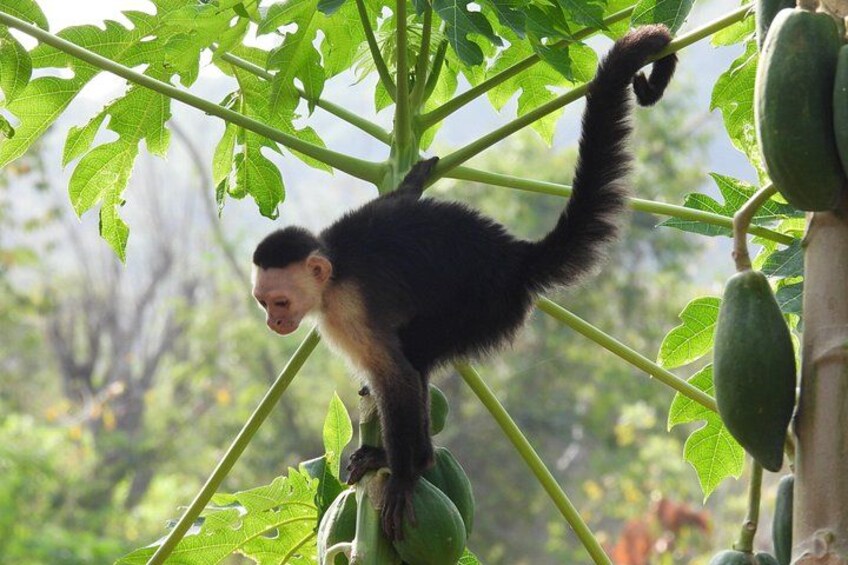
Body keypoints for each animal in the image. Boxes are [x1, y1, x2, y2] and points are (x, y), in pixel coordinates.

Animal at [251, 25, 677, 541]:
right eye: (263, 304)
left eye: (279, 301)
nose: (273, 323)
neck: (331, 273)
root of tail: (516, 258)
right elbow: (398, 199)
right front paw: (416, 176)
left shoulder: (346, 311)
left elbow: (395, 376)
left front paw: (406, 476)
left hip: (485, 308)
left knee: (415, 354)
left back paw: (411, 461)